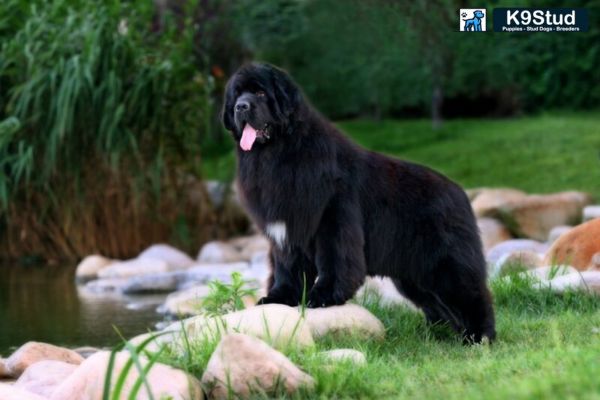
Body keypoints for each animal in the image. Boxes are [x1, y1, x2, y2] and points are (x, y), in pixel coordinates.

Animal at [223, 63, 494, 344]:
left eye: (260, 93)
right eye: (237, 94)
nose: (241, 107)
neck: (279, 154)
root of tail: (459, 192)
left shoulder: (333, 218)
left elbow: (334, 261)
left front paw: (322, 298)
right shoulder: (286, 230)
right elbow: (287, 267)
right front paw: (278, 298)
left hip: (447, 263)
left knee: (472, 295)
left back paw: (479, 338)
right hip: (414, 276)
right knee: (439, 305)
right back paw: (441, 335)